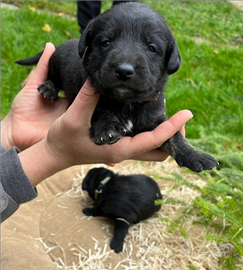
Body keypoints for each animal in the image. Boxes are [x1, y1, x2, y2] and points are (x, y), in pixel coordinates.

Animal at [17, 2, 218, 172]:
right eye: (106, 42)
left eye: (152, 48)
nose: (124, 71)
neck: (126, 102)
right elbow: (100, 112)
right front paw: (108, 128)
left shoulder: (154, 118)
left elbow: (174, 135)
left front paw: (194, 155)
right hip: (55, 61)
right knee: (51, 76)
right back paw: (48, 89)